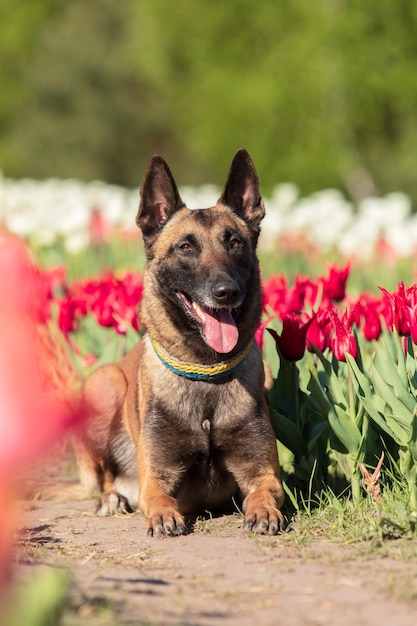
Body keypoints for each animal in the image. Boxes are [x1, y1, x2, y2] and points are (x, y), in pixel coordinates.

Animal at [76, 149, 284, 532]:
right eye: (185, 246)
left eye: (235, 242)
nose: (226, 292)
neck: (205, 371)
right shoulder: (155, 479)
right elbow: (159, 499)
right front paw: (163, 516)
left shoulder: (264, 474)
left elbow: (263, 493)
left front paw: (263, 512)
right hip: (105, 383)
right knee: (103, 479)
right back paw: (110, 499)